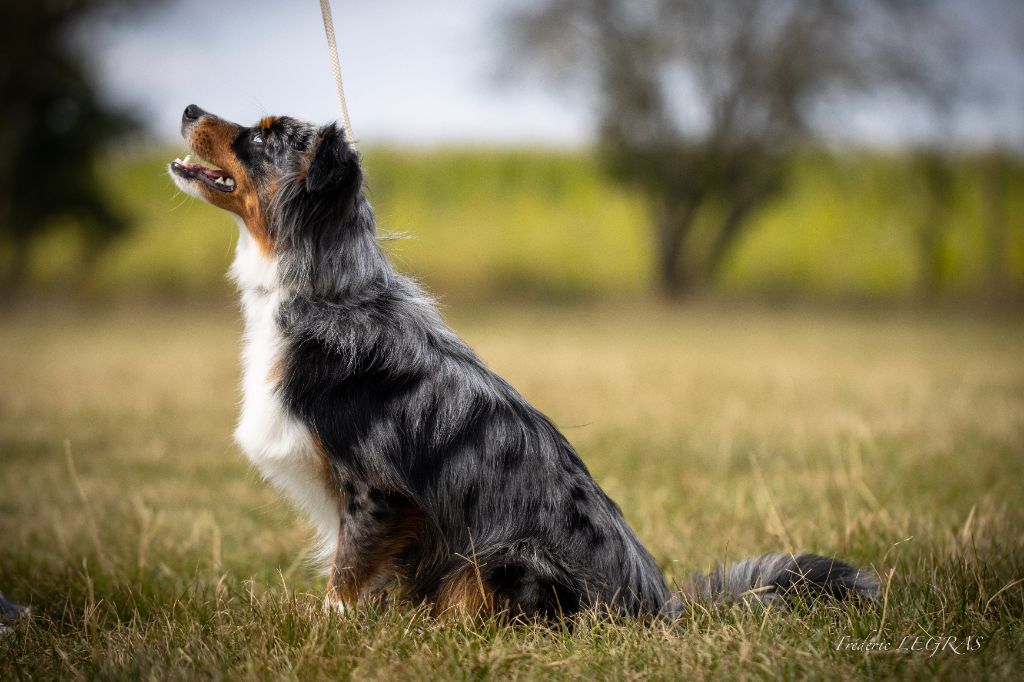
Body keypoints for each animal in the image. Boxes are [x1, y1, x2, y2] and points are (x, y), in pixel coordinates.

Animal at [169, 104, 880, 614]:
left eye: (265, 136)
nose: (189, 107)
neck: (327, 288)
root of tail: (661, 611)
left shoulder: (378, 489)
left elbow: (344, 581)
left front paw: (335, 634)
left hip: (508, 559)